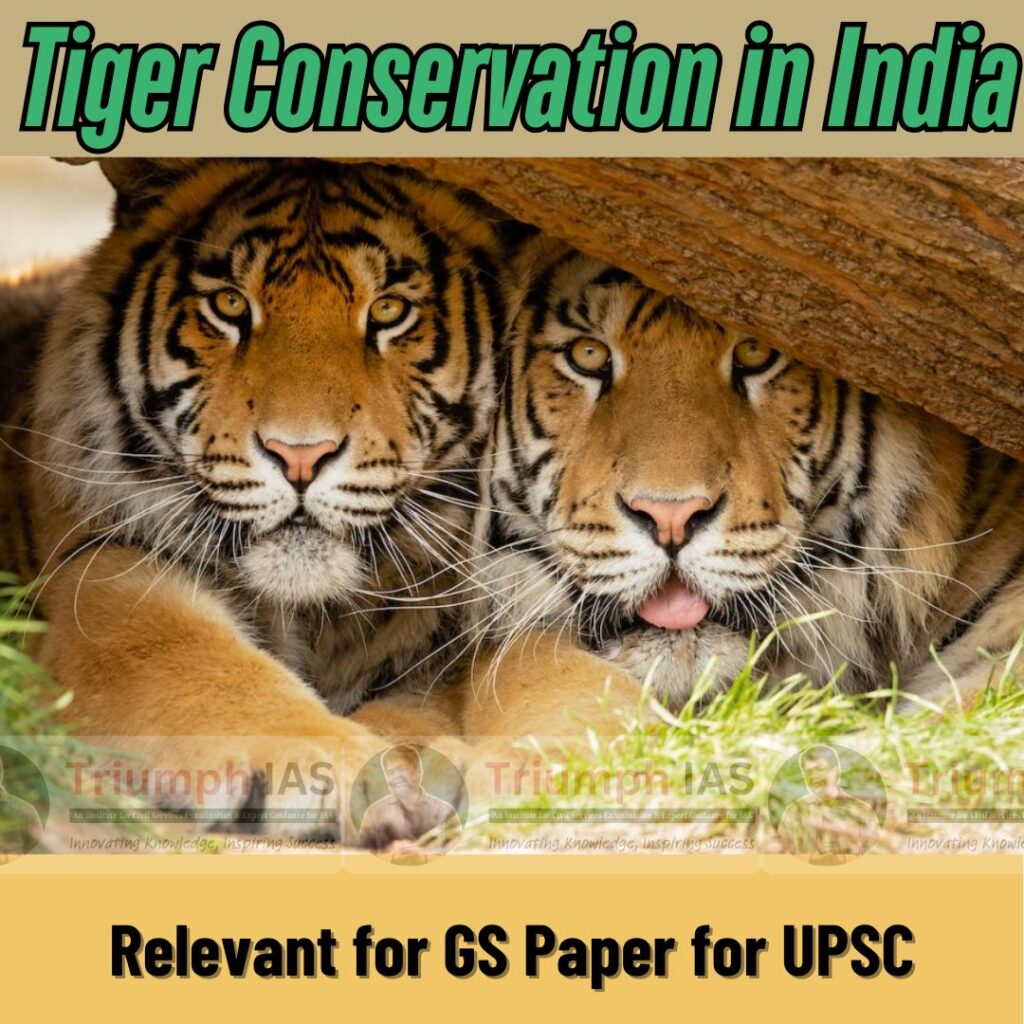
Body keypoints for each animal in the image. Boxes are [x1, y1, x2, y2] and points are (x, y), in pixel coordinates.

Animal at [0, 158, 504, 829]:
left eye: (390, 311)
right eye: (230, 304)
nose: (301, 456)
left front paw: (415, 756)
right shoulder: (98, 574)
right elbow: (197, 663)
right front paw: (352, 770)